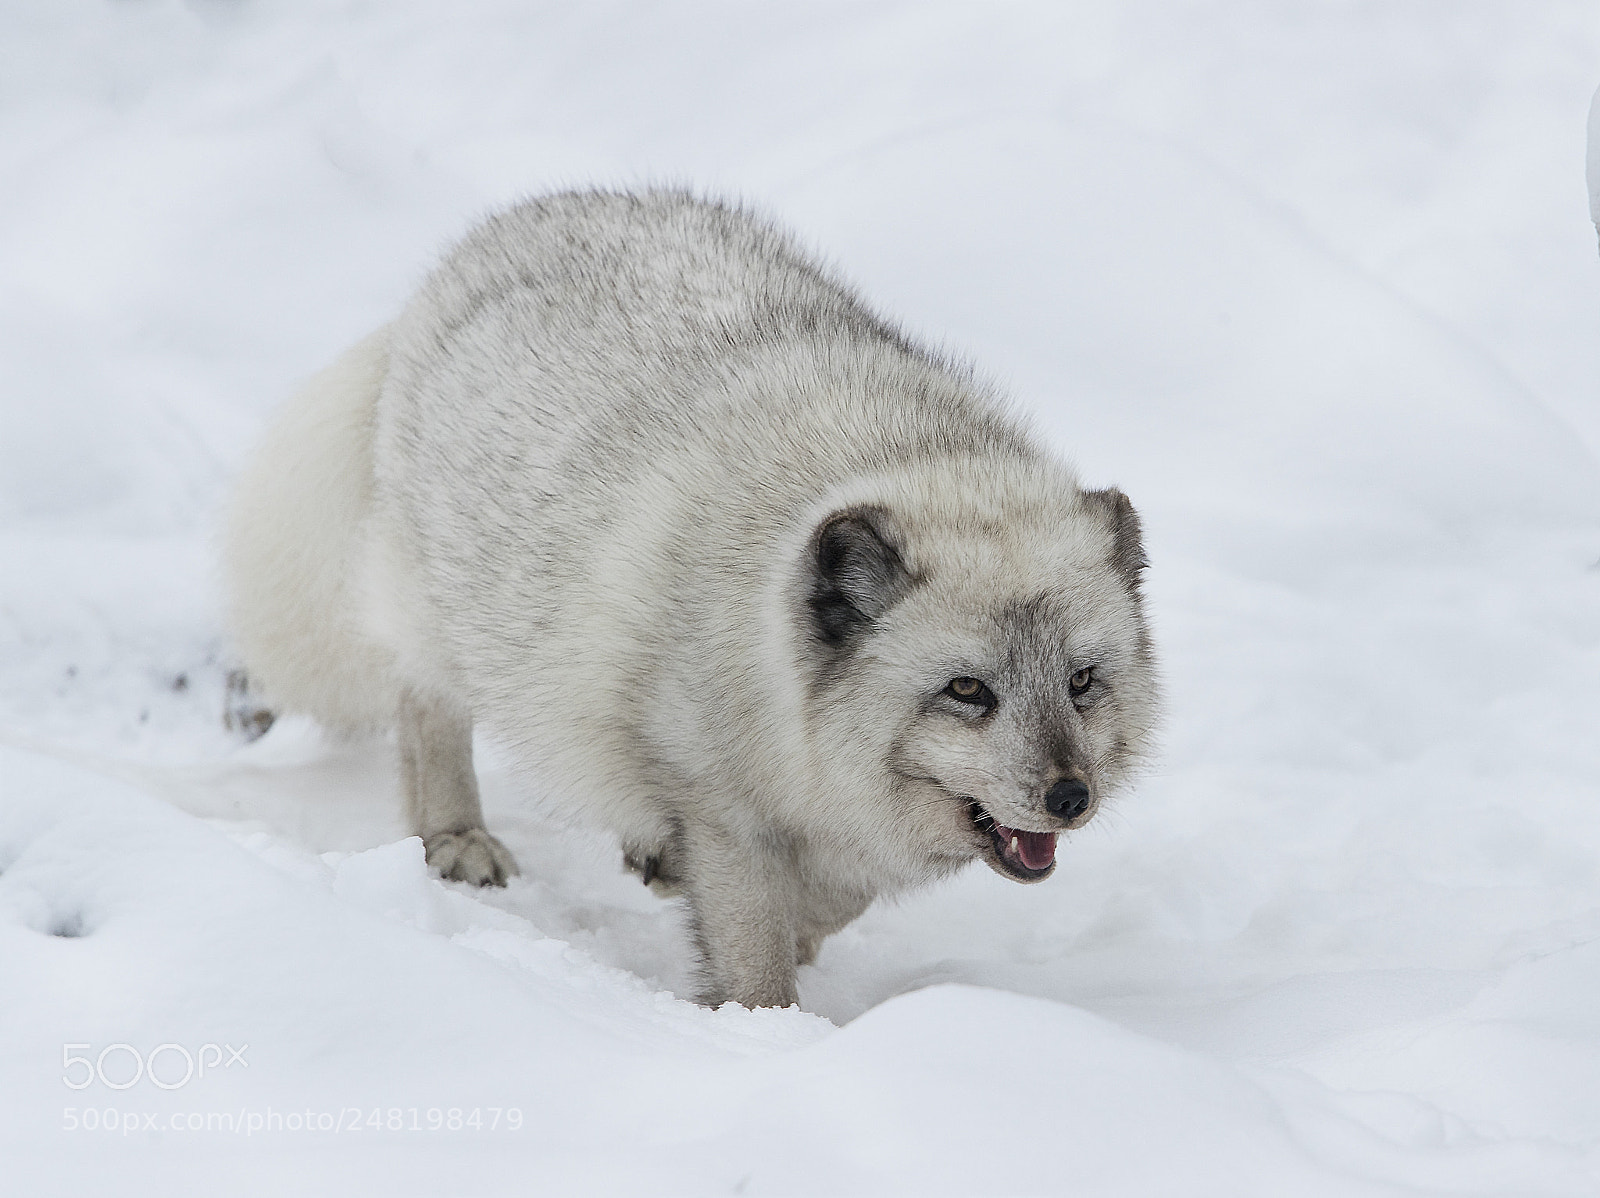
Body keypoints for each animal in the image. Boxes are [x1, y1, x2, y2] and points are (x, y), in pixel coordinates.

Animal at [224, 189, 1159, 1009]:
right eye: (968, 690)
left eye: (1082, 682)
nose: (1072, 799)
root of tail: (488, 236)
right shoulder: (720, 803)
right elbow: (753, 952)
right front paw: (762, 1034)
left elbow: (832, 902)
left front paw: (784, 929)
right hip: (443, 613)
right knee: (424, 710)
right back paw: (455, 837)